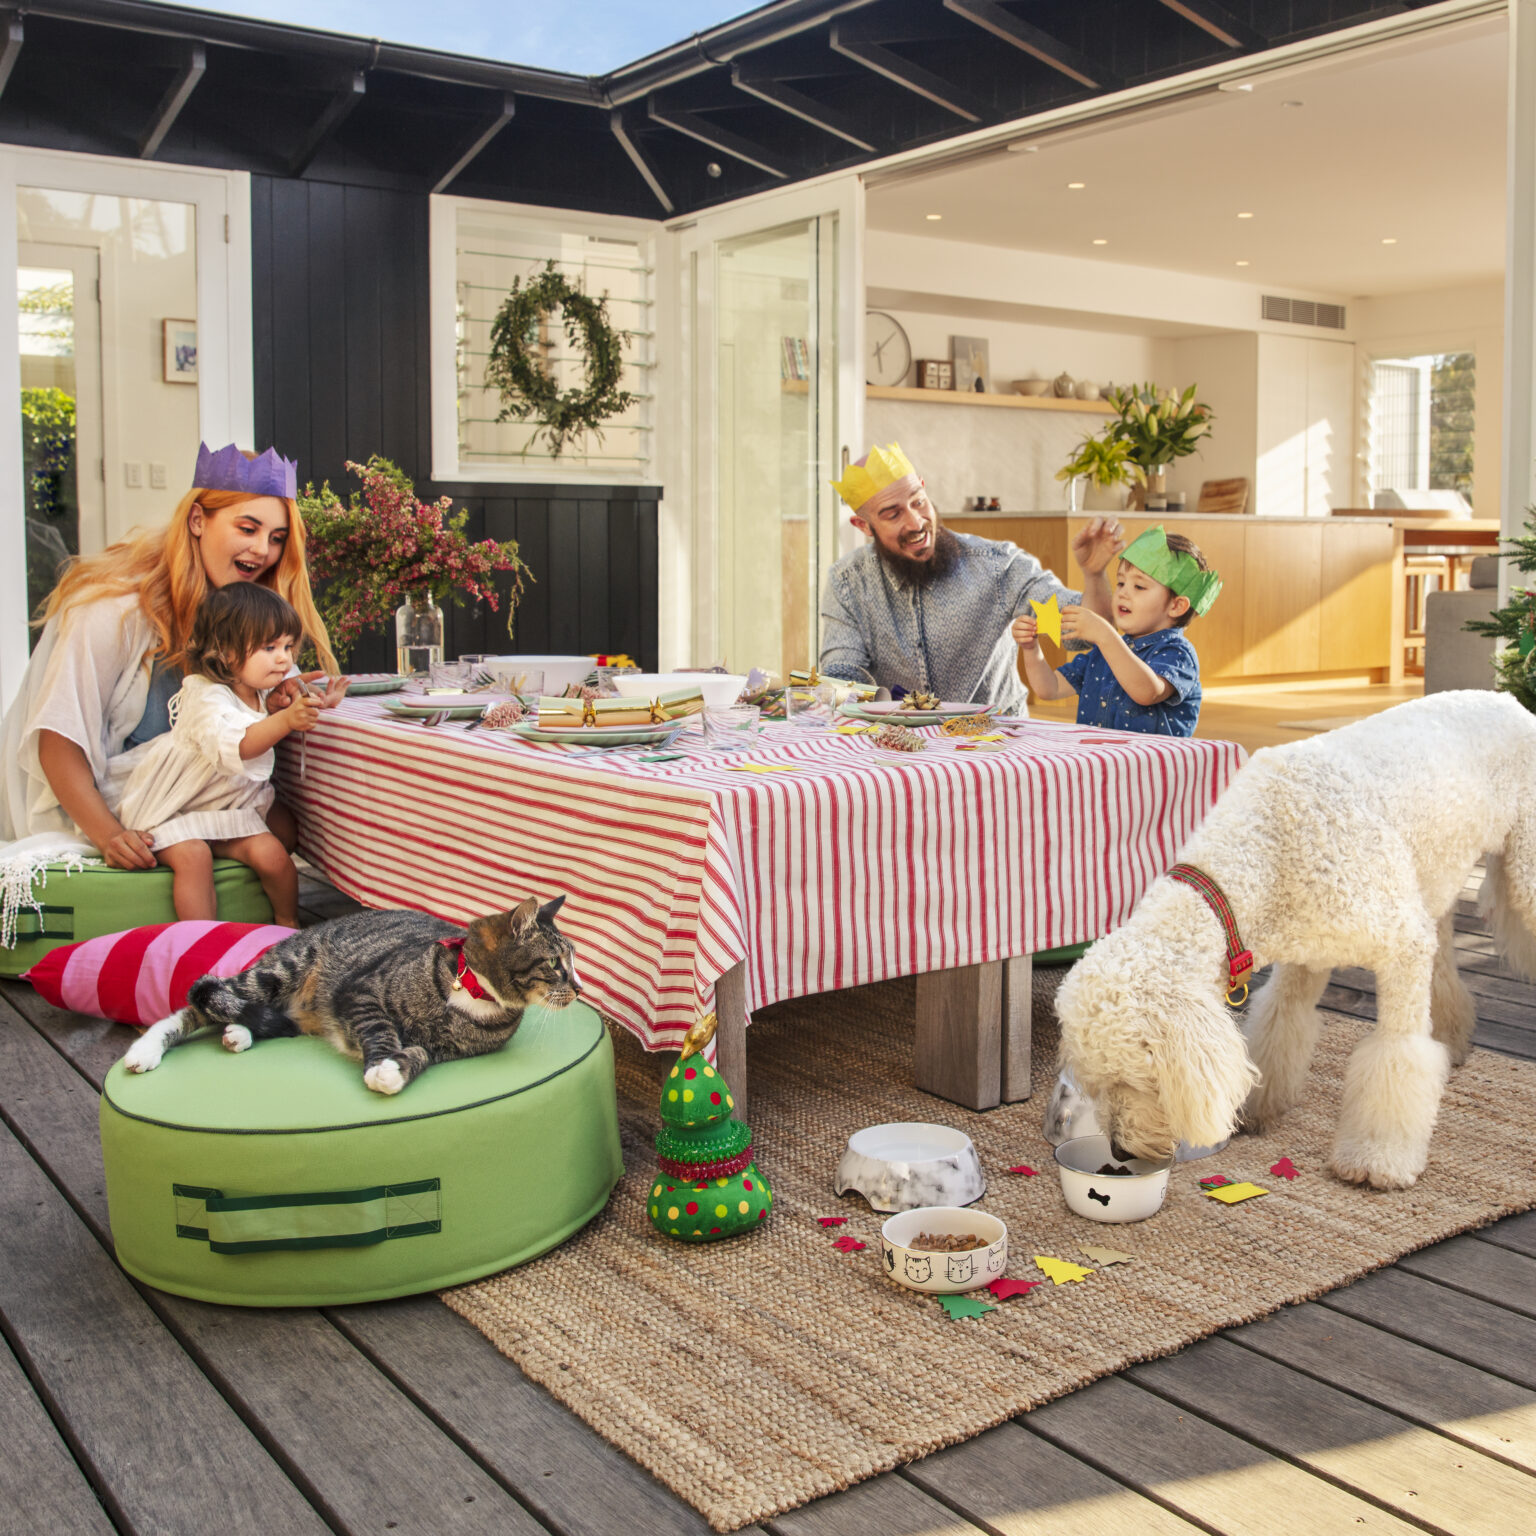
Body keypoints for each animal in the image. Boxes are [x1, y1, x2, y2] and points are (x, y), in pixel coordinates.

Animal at [121, 897, 580, 1099]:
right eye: (555, 962)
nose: (579, 988)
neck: (471, 990)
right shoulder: (359, 992)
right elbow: (381, 1030)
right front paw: (381, 1063)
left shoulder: (446, 1050)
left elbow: (419, 1053)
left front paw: (394, 1070)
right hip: (279, 971)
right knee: (201, 997)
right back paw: (145, 1051)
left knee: (260, 1016)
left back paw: (239, 1032)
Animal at [1056, 691, 1536, 1191]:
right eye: (1096, 1084)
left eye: (1134, 1079)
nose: (1118, 1151)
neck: (1265, 850)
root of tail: (1506, 698)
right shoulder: (1306, 954)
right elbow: (1279, 1025)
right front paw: (1255, 1109)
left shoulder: (1403, 946)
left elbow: (1397, 1053)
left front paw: (1376, 1157)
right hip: (1434, 884)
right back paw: (1451, 1037)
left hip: (1523, 874)